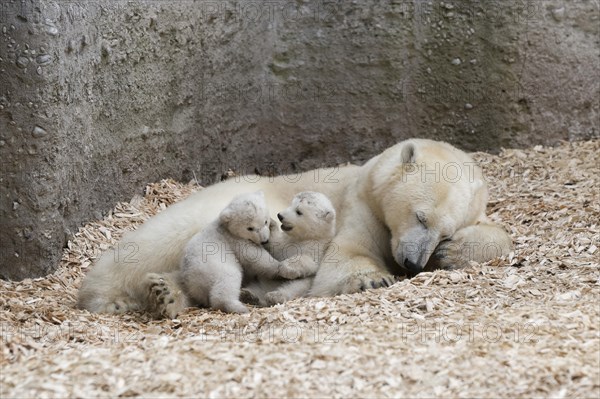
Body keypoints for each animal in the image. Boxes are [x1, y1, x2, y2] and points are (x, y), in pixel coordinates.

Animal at [77, 139, 512, 318]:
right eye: (420, 217)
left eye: (444, 232)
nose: (412, 263)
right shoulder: (354, 205)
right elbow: (346, 256)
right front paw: (371, 279)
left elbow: (501, 234)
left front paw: (455, 253)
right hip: (216, 211)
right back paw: (109, 297)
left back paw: (165, 294)